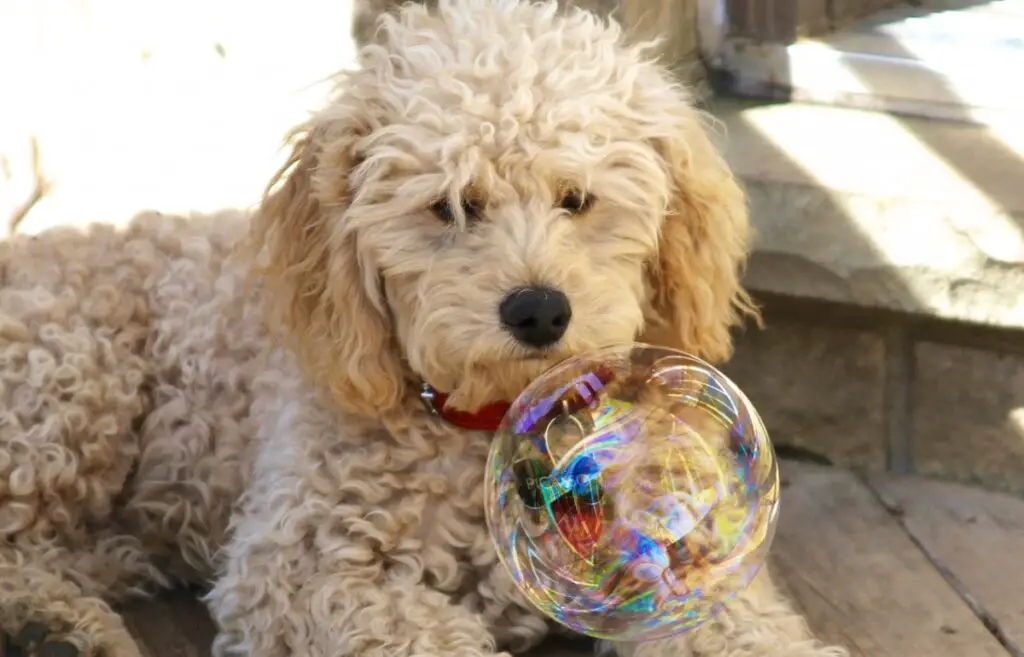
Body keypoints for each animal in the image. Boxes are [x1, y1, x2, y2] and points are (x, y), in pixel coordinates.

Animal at [0, 1, 847, 654]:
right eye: (450, 206)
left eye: (577, 199)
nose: (539, 309)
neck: (492, 425)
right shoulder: (297, 568)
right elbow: (421, 631)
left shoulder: (687, 558)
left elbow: (742, 625)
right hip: (73, 382)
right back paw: (55, 625)